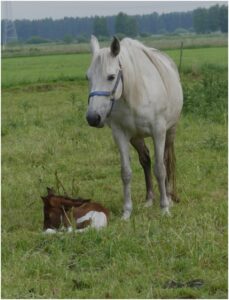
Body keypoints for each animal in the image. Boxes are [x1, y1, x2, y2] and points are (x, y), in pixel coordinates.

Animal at [86, 36, 182, 219]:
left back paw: (168, 196)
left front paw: (164, 208)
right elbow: (126, 172)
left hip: (170, 131)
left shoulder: (159, 132)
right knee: (145, 160)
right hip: (136, 138)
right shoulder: (120, 134)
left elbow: (160, 169)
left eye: (111, 76)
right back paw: (149, 199)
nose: (93, 118)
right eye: (88, 77)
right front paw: (126, 212)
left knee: (165, 160)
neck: (135, 93)